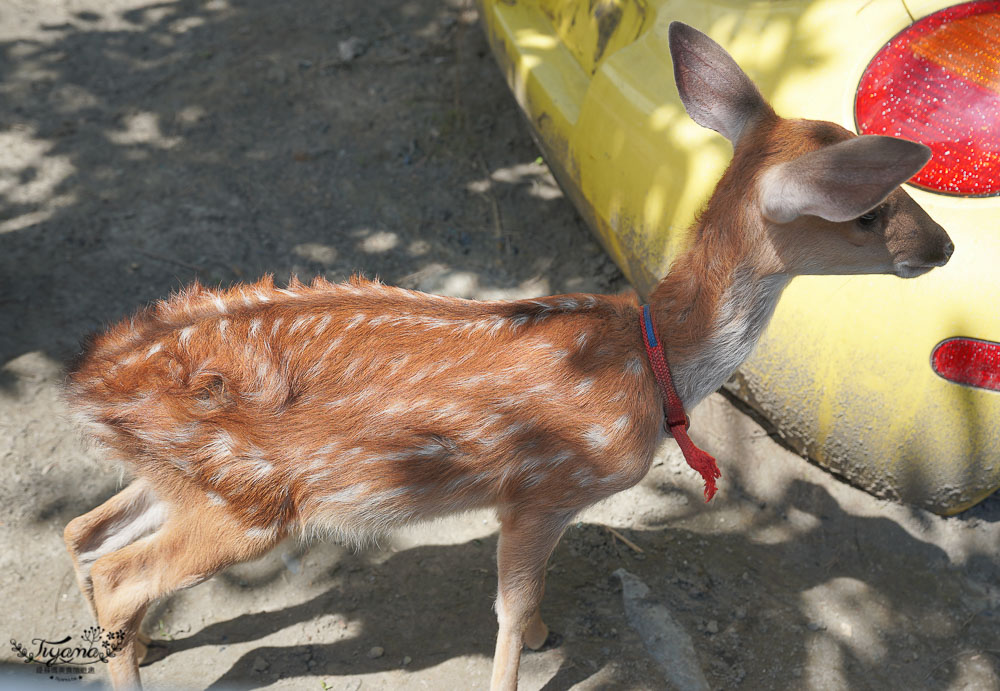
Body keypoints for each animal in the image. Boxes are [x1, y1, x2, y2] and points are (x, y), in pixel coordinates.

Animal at [62, 21, 952, 691]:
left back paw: (138, 643)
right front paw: (534, 645)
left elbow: (529, 604)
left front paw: (554, 629)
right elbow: (511, 611)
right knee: (118, 572)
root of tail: (88, 381)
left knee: (83, 530)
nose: (941, 246)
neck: (652, 364)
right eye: (867, 211)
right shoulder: (541, 489)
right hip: (249, 500)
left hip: (188, 474)